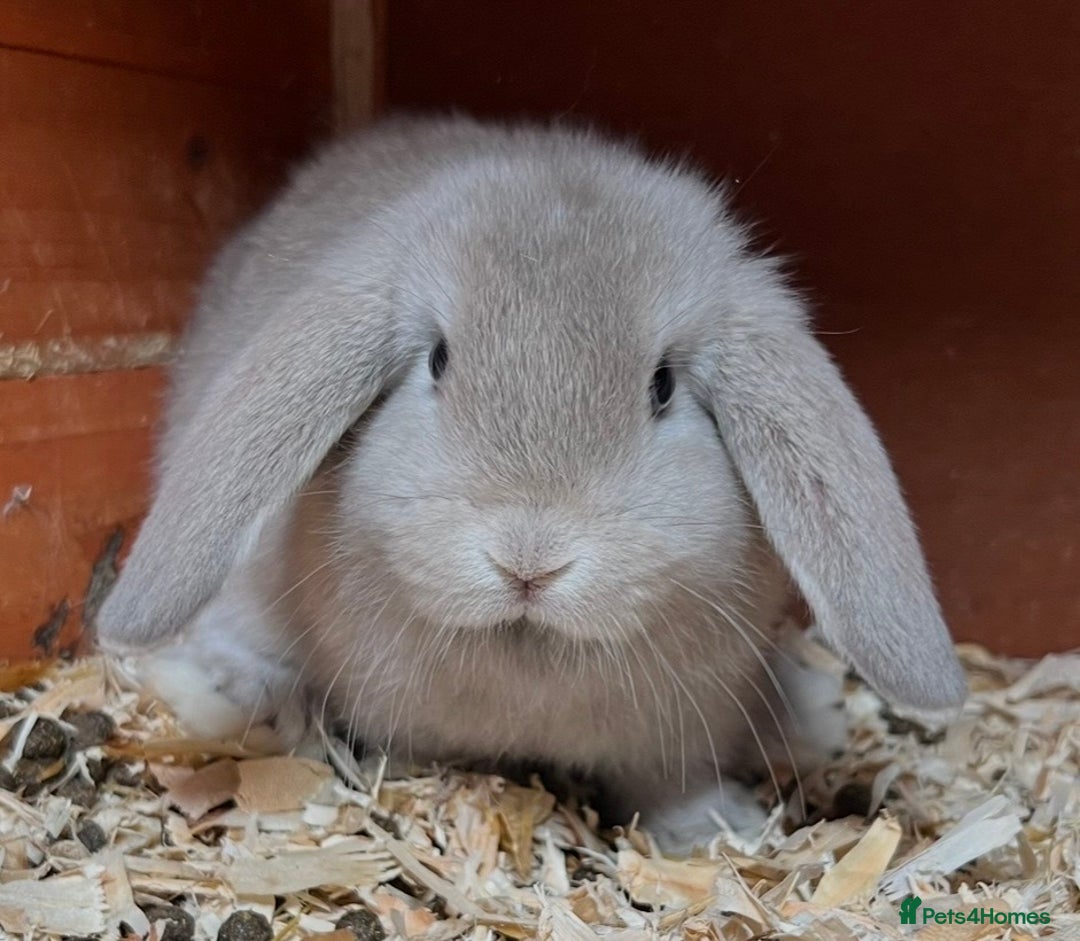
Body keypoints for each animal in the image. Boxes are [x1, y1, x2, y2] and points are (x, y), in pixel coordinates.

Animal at [95, 115, 967, 851]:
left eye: (661, 386)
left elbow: (673, 783)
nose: (529, 562)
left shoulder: (678, 731)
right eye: (439, 360)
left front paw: (716, 830)